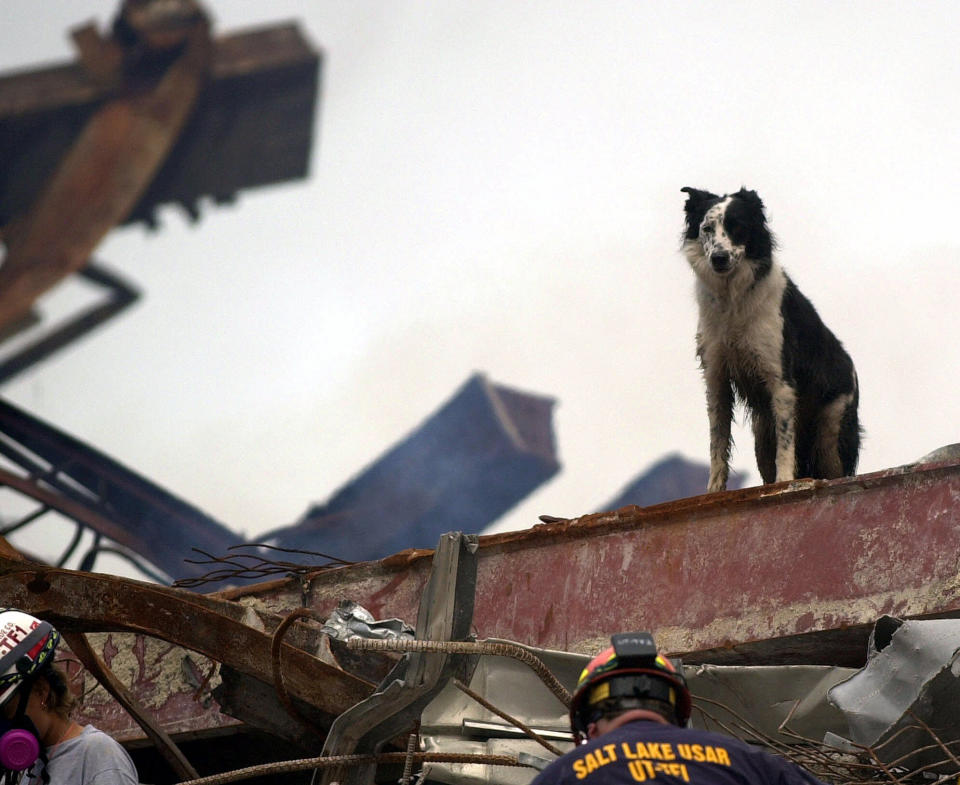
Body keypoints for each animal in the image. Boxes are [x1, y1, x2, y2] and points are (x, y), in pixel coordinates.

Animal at [680, 187, 860, 490]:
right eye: (707, 229)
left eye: (737, 227)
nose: (718, 258)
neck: (733, 299)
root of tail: (850, 364)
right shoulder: (716, 378)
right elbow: (718, 442)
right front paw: (714, 489)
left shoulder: (781, 381)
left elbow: (785, 445)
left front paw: (785, 481)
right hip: (762, 433)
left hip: (831, 432)